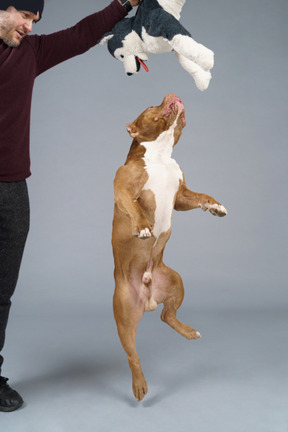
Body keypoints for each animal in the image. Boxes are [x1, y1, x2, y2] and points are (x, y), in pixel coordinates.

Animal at [111, 94, 226, 402]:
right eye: (152, 106)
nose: (173, 95)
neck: (160, 154)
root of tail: (148, 295)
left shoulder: (182, 195)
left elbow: (200, 196)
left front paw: (215, 206)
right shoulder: (123, 189)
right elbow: (135, 208)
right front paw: (141, 227)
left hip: (175, 281)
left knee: (167, 315)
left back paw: (188, 332)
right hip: (125, 317)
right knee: (132, 355)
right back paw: (139, 385)